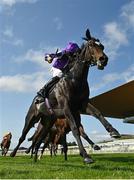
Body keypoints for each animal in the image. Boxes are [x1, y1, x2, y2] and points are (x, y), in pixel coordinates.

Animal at [10, 29, 119, 163]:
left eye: (102, 46)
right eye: (91, 45)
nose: (103, 59)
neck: (76, 80)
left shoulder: (82, 105)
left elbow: (97, 113)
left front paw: (113, 131)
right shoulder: (67, 108)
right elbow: (75, 129)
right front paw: (86, 156)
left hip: (47, 122)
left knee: (39, 139)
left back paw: (35, 158)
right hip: (31, 118)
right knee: (23, 136)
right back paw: (14, 153)